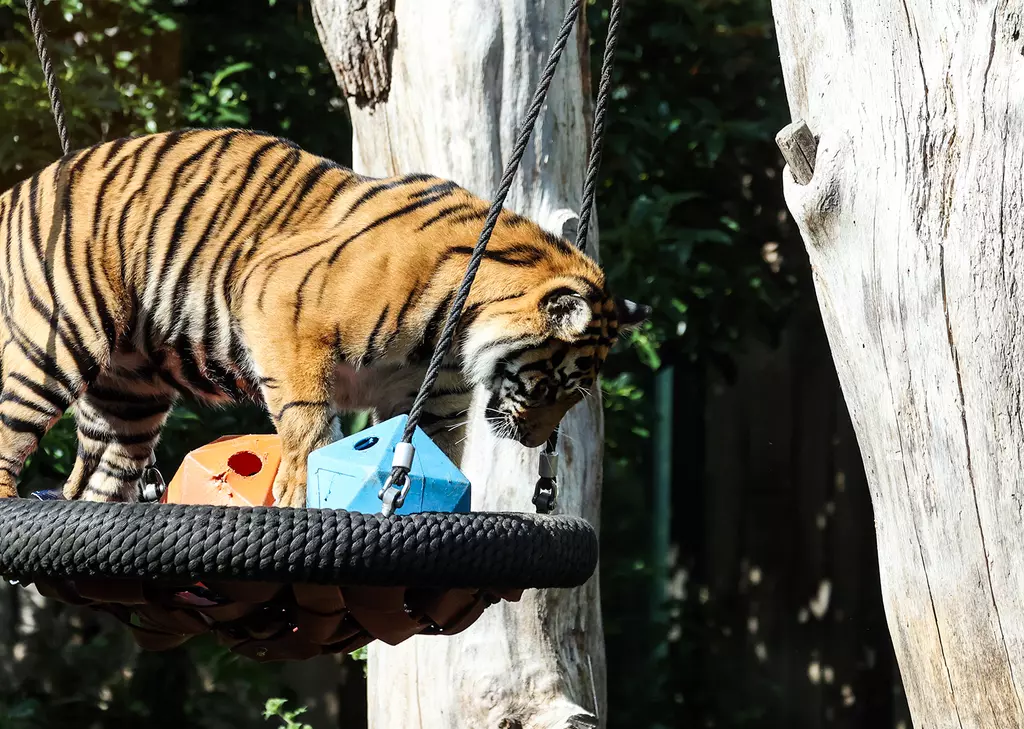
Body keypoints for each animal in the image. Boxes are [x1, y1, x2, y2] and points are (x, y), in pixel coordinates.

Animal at [0, 126, 647, 507]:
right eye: (555, 385)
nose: (535, 439)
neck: (458, 329)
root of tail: (23, 185)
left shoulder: (431, 396)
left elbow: (433, 449)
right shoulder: (278, 299)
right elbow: (307, 417)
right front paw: (298, 488)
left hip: (130, 393)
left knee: (98, 476)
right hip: (52, 344)